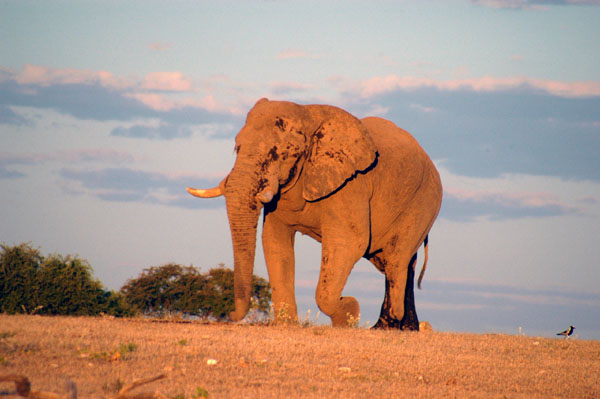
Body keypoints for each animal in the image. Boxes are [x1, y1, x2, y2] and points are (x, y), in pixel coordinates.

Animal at [185, 98, 442, 330]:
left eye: (277, 154)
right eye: (236, 147)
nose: (229, 313)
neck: (306, 114)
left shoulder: (351, 184)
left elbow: (349, 242)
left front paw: (348, 313)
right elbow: (274, 242)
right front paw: (287, 325)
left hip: (424, 201)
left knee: (396, 260)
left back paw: (390, 325)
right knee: (402, 263)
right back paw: (398, 327)